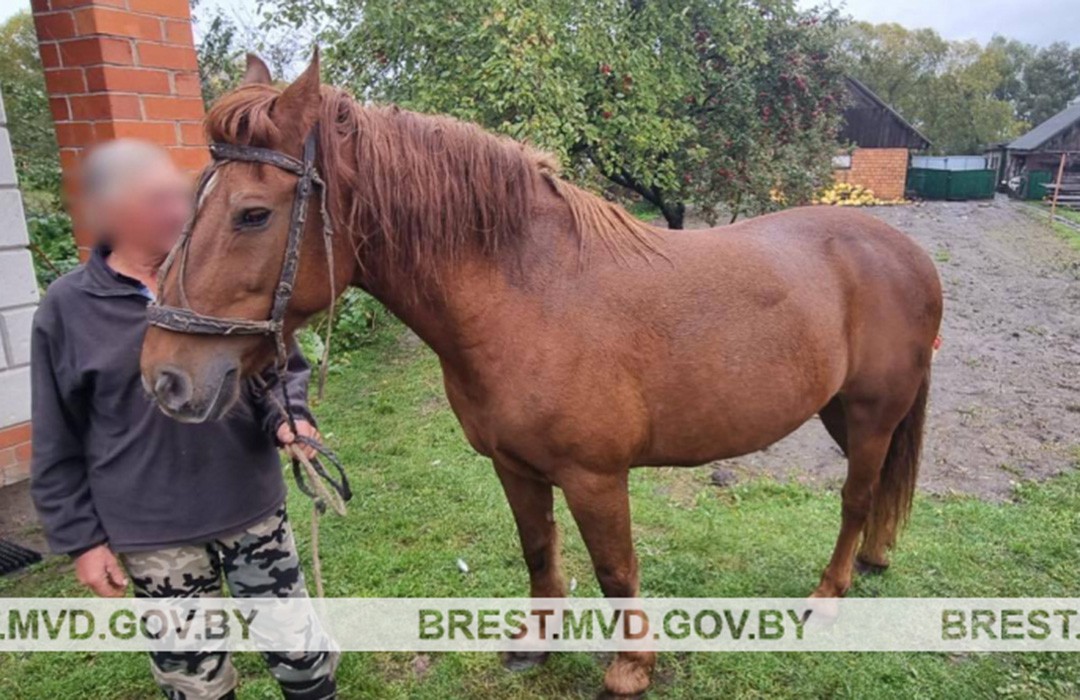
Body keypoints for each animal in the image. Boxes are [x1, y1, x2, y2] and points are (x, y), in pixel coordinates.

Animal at [140, 52, 943, 696]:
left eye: (251, 214)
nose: (165, 378)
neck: (531, 295)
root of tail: (902, 249)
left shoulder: (596, 477)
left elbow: (616, 569)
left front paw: (631, 668)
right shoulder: (514, 465)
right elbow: (537, 549)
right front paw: (537, 643)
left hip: (871, 413)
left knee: (854, 497)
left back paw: (829, 594)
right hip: (838, 412)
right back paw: (872, 561)